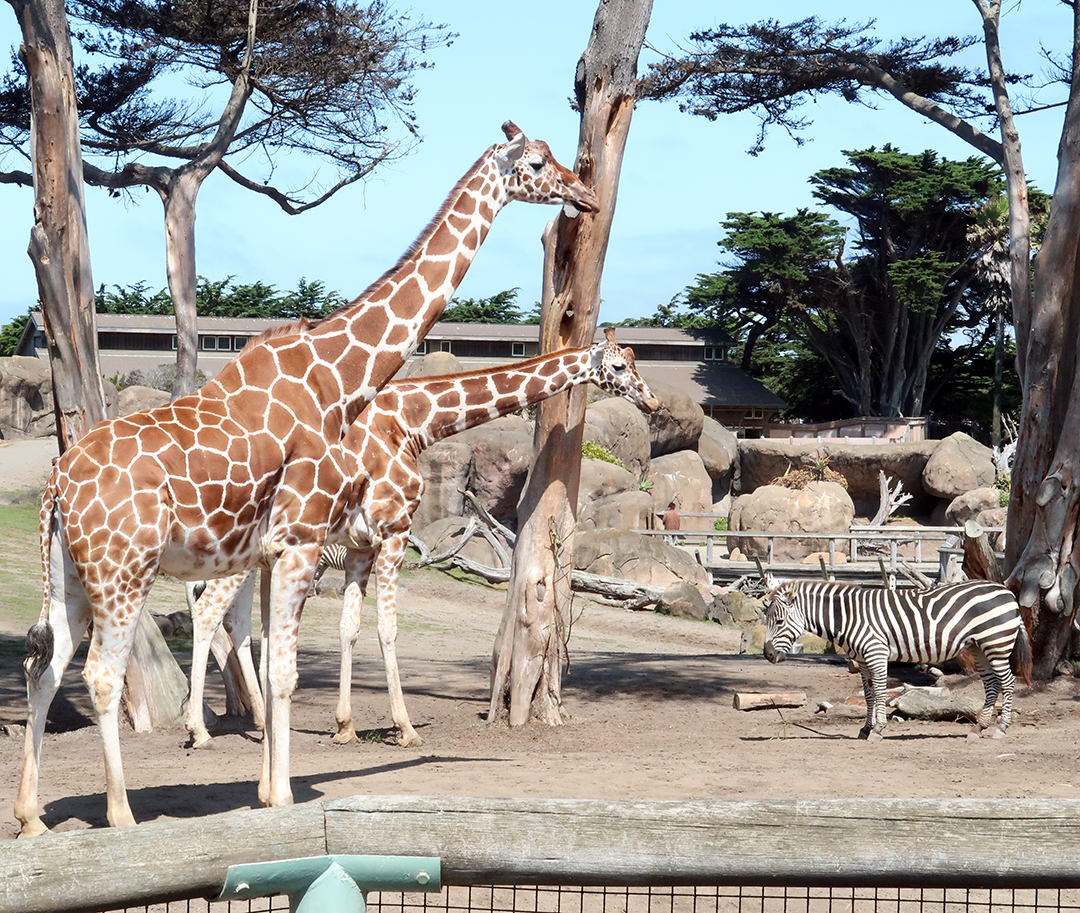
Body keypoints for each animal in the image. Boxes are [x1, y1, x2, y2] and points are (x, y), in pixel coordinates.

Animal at [14, 119, 600, 834]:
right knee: (100, 673)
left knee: (44, 665)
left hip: (70, 575)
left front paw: (268, 790)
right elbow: (291, 670)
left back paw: (32, 815)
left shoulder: (274, 553)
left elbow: (273, 664)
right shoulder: (304, 542)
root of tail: (56, 487)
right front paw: (290, 795)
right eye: (538, 163)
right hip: (123, 569)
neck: (337, 379)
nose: (585, 194)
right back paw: (122, 813)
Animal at [184, 328, 656, 747]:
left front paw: (345, 726)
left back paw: (259, 722)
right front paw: (405, 728)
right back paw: (200, 729)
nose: (651, 400)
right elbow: (387, 628)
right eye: (618, 365)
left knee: (237, 621)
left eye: (635, 361)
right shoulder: (394, 531)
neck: (413, 421)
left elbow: (348, 627)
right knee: (209, 610)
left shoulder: (358, 547)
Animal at [760, 579, 1028, 739]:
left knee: (1007, 682)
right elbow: (868, 695)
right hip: (979, 647)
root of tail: (1007, 591)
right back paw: (979, 727)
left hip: (996, 642)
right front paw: (866, 728)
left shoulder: (876, 654)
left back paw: (1001, 728)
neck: (848, 617)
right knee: (991, 683)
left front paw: (878, 729)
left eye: (779, 621)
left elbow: (879, 692)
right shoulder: (862, 661)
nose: (767, 655)